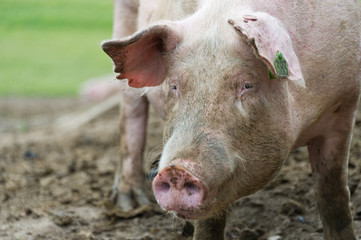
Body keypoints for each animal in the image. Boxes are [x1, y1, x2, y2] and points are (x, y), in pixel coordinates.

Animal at [100, 0, 360, 239]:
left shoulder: (344, 105)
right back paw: (131, 204)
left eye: (246, 85)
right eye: (173, 86)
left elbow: (331, 190)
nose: (177, 170)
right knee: (131, 110)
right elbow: (210, 220)